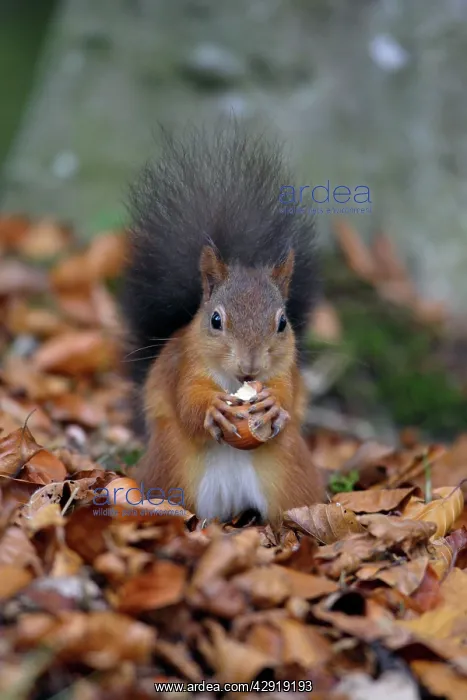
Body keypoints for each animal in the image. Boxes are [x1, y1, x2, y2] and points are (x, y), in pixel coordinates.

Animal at [120, 123, 324, 525]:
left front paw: (273, 405)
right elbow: (187, 402)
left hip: (291, 473)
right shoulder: (185, 367)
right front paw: (212, 409)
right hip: (170, 469)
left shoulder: (285, 371)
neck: (235, 382)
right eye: (216, 320)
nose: (250, 366)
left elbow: (288, 392)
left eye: (282, 323)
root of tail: (229, 505)